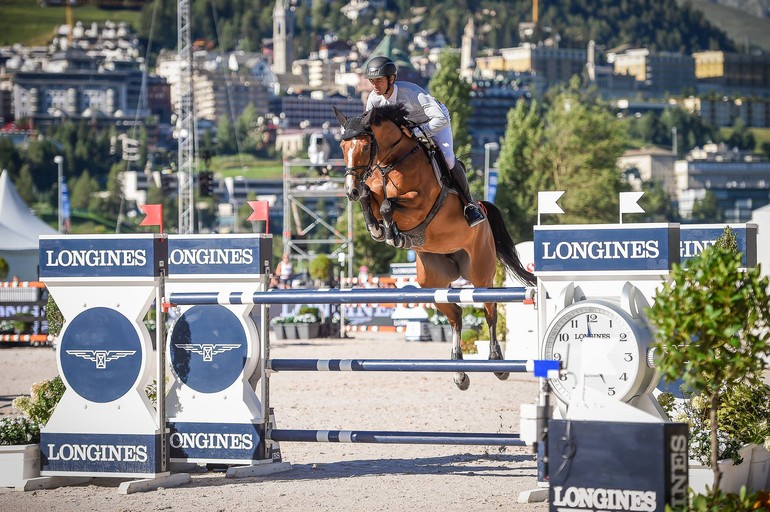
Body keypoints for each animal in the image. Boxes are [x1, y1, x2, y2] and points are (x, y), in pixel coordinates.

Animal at [332, 105, 536, 392]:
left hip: (480, 273)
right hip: (433, 281)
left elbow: (388, 205)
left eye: (364, 145)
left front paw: (393, 234)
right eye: (342, 145)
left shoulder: (419, 203)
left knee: (490, 311)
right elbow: (370, 198)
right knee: (457, 315)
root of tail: (484, 210)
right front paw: (379, 229)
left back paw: (497, 363)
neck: (391, 162)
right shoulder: (373, 193)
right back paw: (459, 372)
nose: (349, 189)